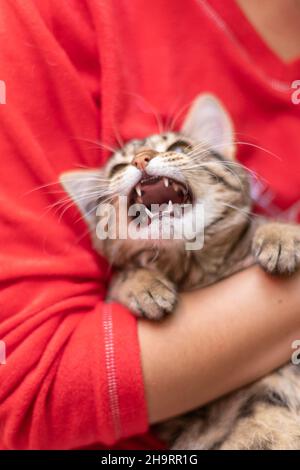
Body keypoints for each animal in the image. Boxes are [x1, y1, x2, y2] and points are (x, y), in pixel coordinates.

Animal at [59, 93, 300, 450]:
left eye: (179, 146)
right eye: (118, 167)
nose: (142, 159)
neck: (193, 266)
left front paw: (280, 234)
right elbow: (119, 278)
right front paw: (143, 285)